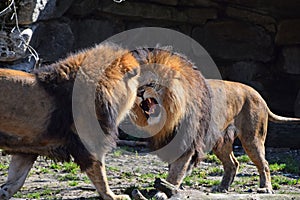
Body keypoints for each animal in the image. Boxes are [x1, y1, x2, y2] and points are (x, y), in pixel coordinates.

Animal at [0, 43, 140, 199]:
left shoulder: (27, 146)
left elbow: (16, 179)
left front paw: (4, 192)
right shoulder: (89, 144)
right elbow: (101, 176)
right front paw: (113, 196)